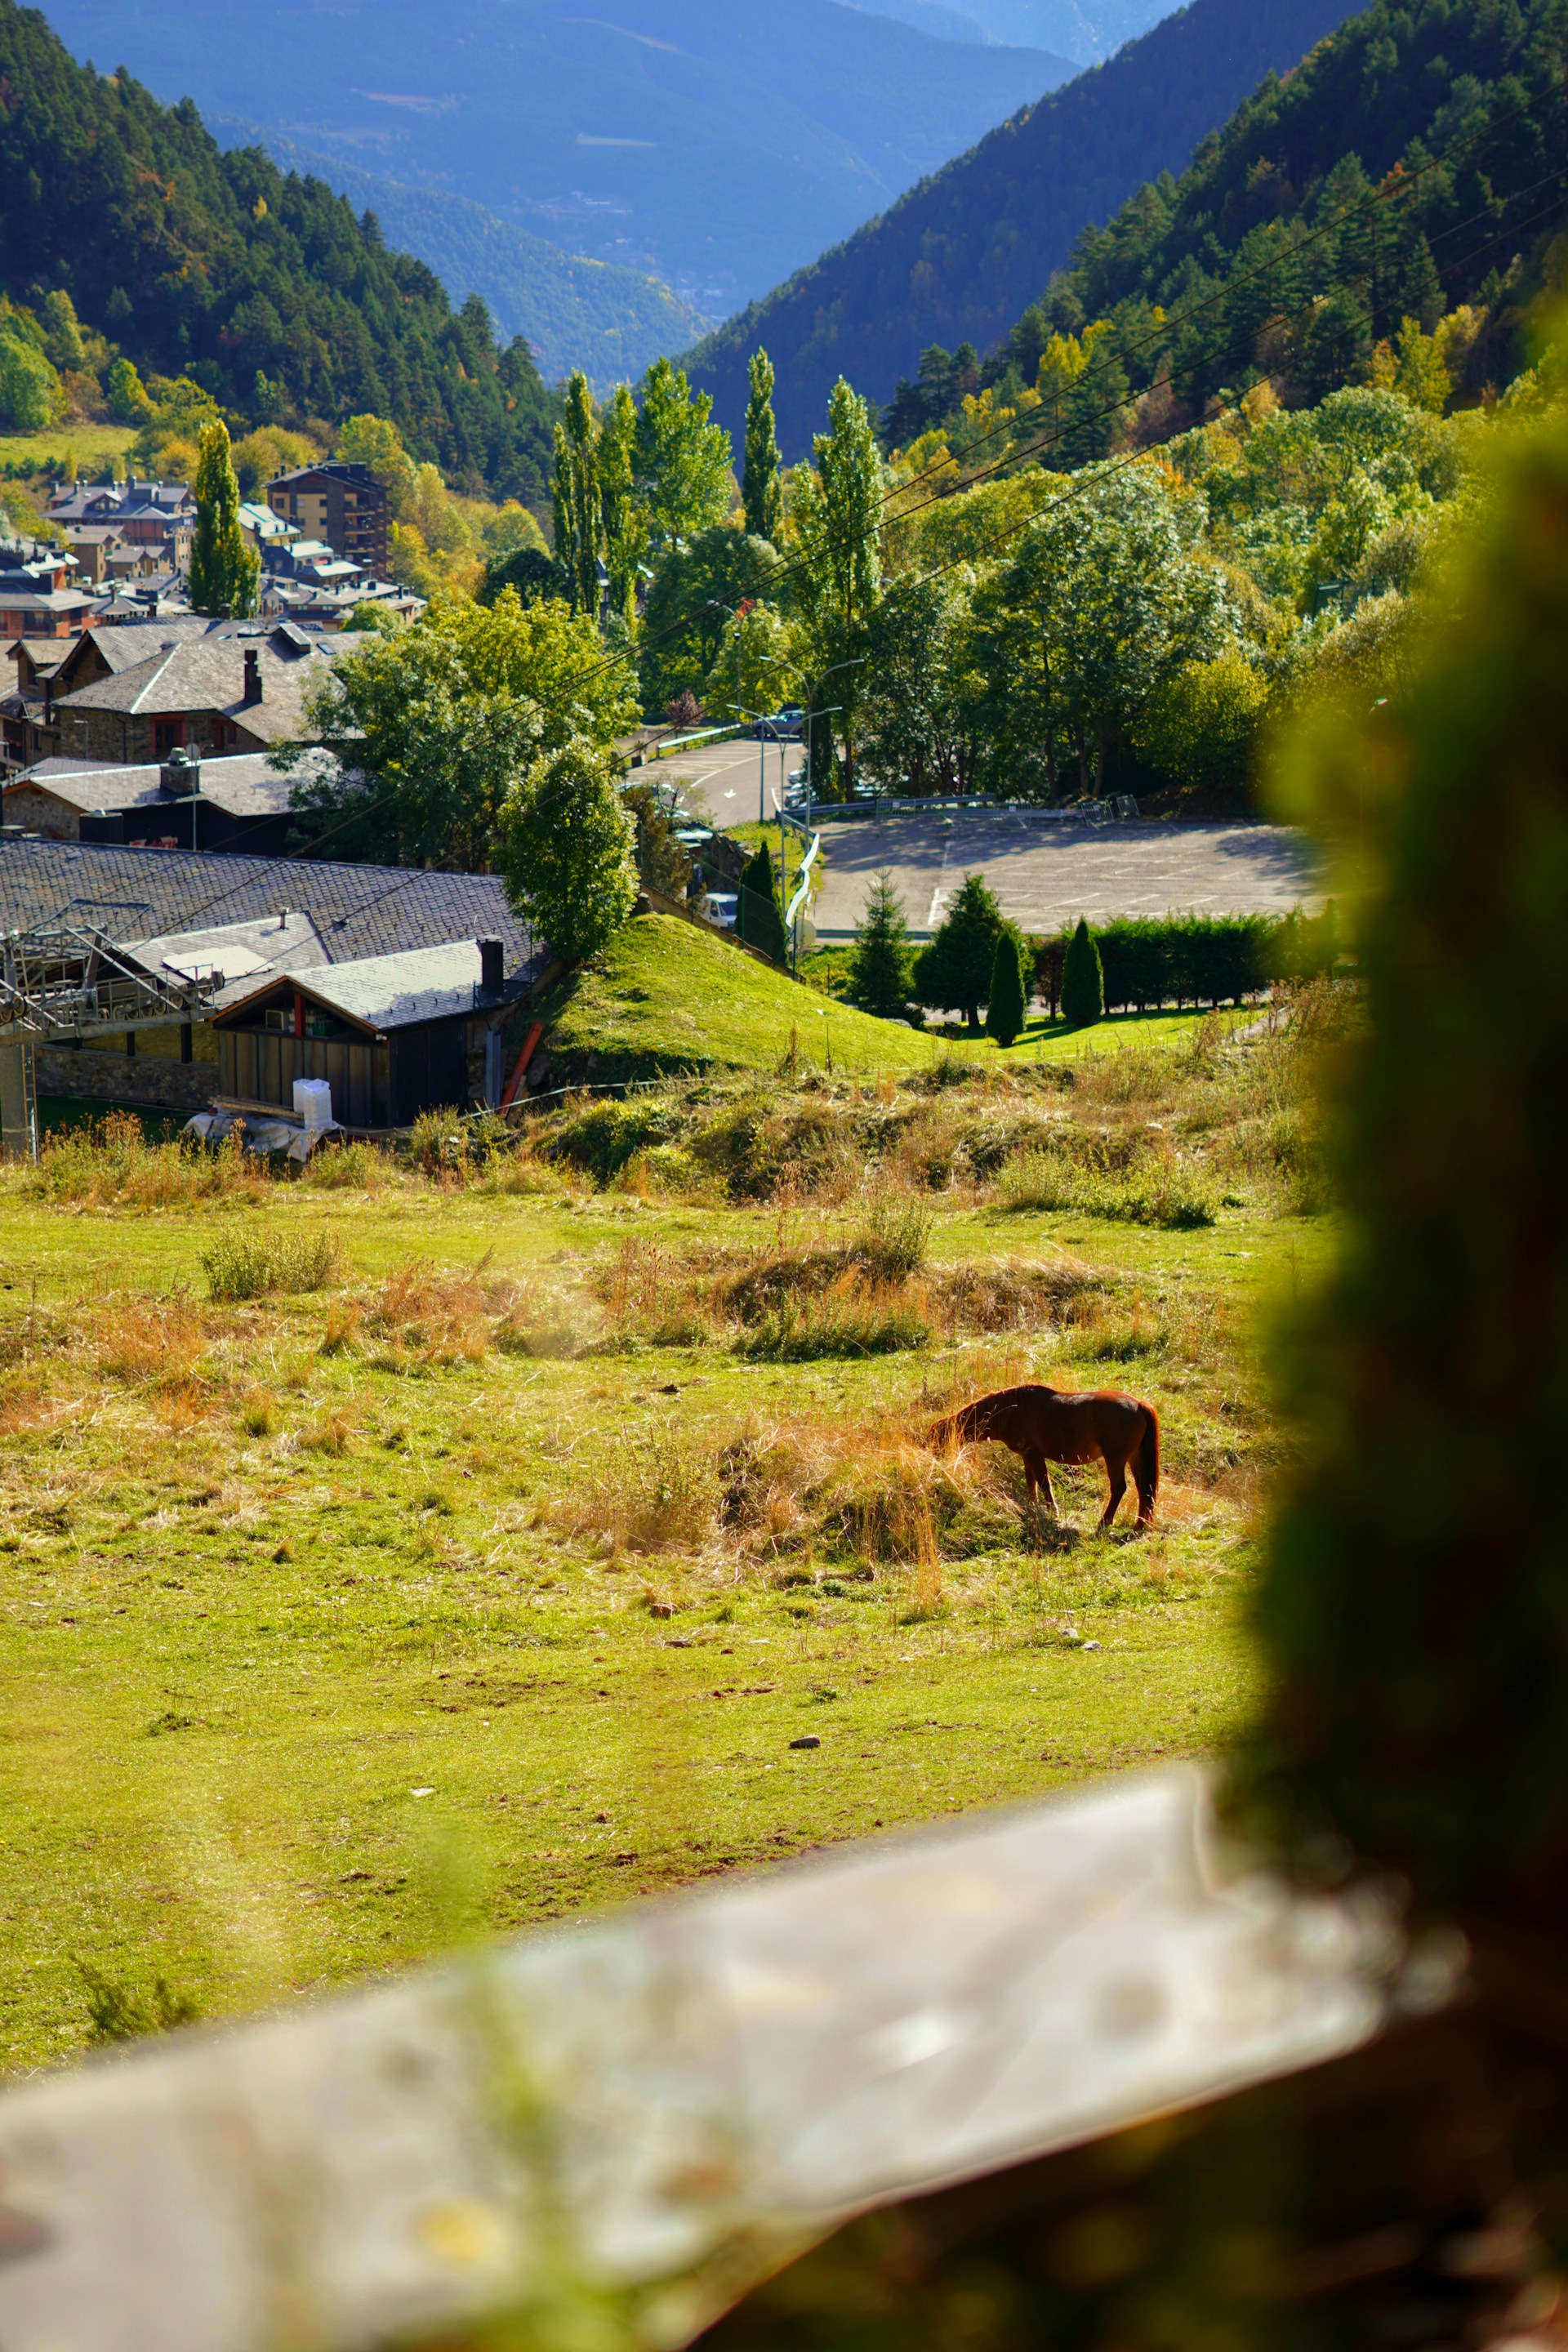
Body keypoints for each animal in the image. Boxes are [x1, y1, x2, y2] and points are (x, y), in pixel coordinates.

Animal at [928, 1383, 1159, 1531]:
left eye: (936, 1439)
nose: (932, 1459)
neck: (1012, 1410)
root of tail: (1139, 1404)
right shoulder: (1027, 1456)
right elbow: (1032, 1483)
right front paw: (1034, 1507)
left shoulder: (1034, 1455)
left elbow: (1044, 1483)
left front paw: (1052, 1512)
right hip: (1135, 1458)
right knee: (1144, 1488)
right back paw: (1140, 1523)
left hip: (1115, 1459)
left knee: (1119, 1488)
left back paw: (1105, 1522)